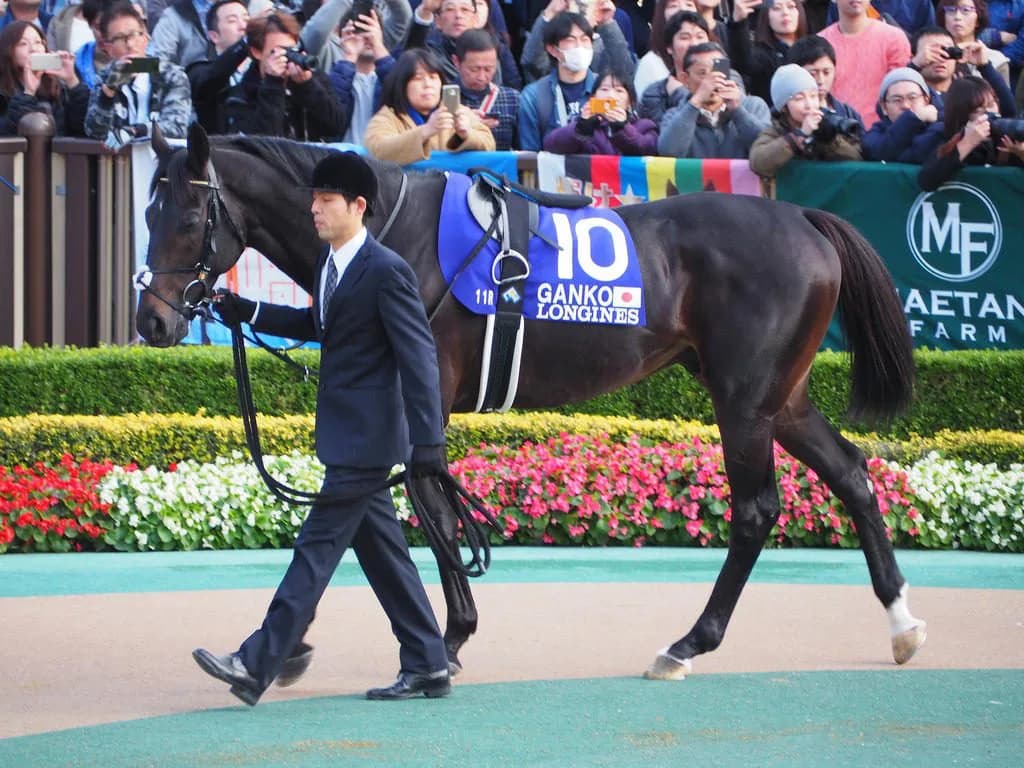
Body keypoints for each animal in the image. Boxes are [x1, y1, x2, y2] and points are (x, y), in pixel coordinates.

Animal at [138, 124, 926, 680]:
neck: (392, 233)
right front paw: (288, 646)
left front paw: (447, 638)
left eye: (190, 217)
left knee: (758, 509)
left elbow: (427, 512)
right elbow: (366, 512)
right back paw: (901, 622)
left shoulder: (421, 400)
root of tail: (804, 219)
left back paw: (688, 643)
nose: (152, 322)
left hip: (744, 400)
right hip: (779, 399)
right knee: (852, 474)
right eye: (149, 212)